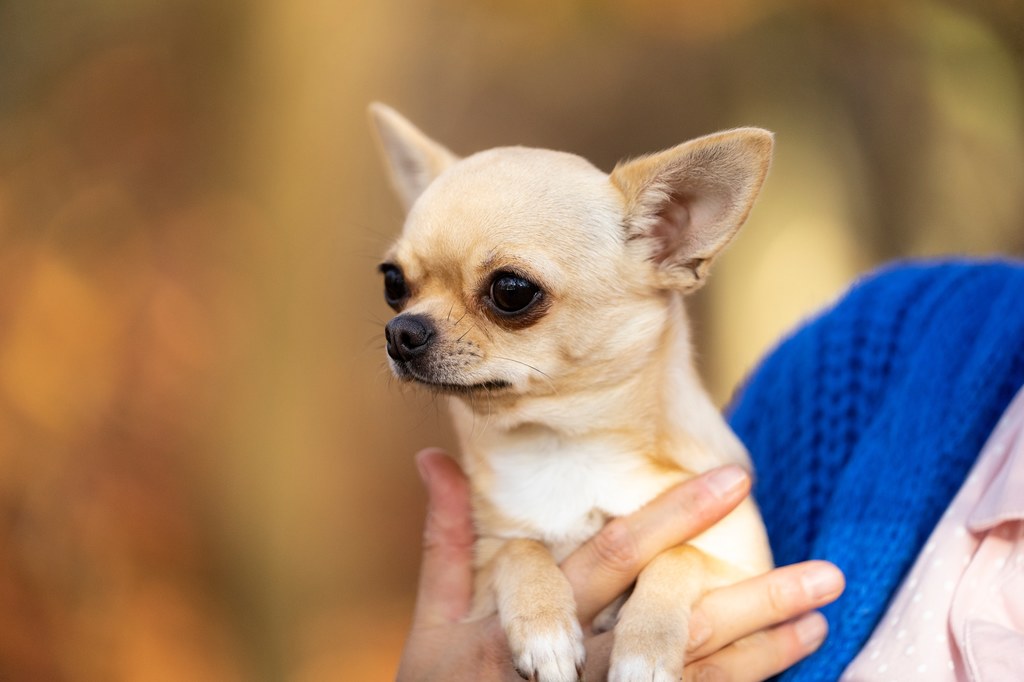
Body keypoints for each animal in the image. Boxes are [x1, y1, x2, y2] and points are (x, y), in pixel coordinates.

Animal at [372, 102, 770, 679]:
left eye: (511, 291)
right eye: (392, 283)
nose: (400, 332)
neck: (564, 445)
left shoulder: (748, 566)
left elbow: (682, 555)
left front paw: (646, 648)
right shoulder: (481, 576)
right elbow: (519, 550)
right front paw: (545, 628)